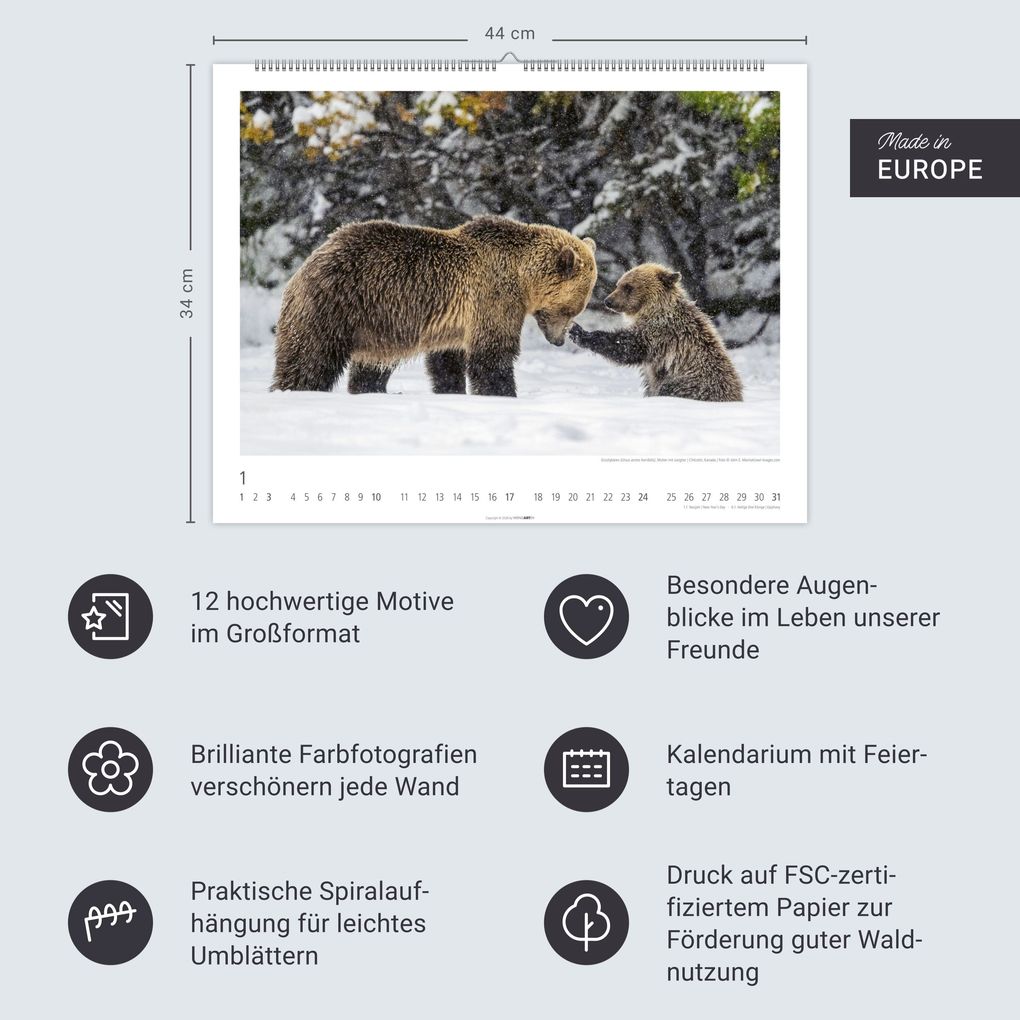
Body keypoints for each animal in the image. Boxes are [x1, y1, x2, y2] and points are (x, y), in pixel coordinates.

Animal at [271, 216, 598, 398]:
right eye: (571, 309)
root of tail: (307, 263)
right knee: (309, 358)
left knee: (371, 366)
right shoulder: (493, 297)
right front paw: (503, 393)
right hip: (336, 304)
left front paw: (452, 390)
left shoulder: (452, 323)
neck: (520, 276)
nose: (558, 341)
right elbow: (492, 355)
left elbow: (446, 362)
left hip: (376, 328)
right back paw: (293, 389)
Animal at [569, 263, 743, 402]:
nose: (608, 301)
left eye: (628, 286)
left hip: (688, 384)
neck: (652, 309)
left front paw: (579, 332)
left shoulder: (662, 333)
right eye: (618, 284)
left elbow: (628, 346)